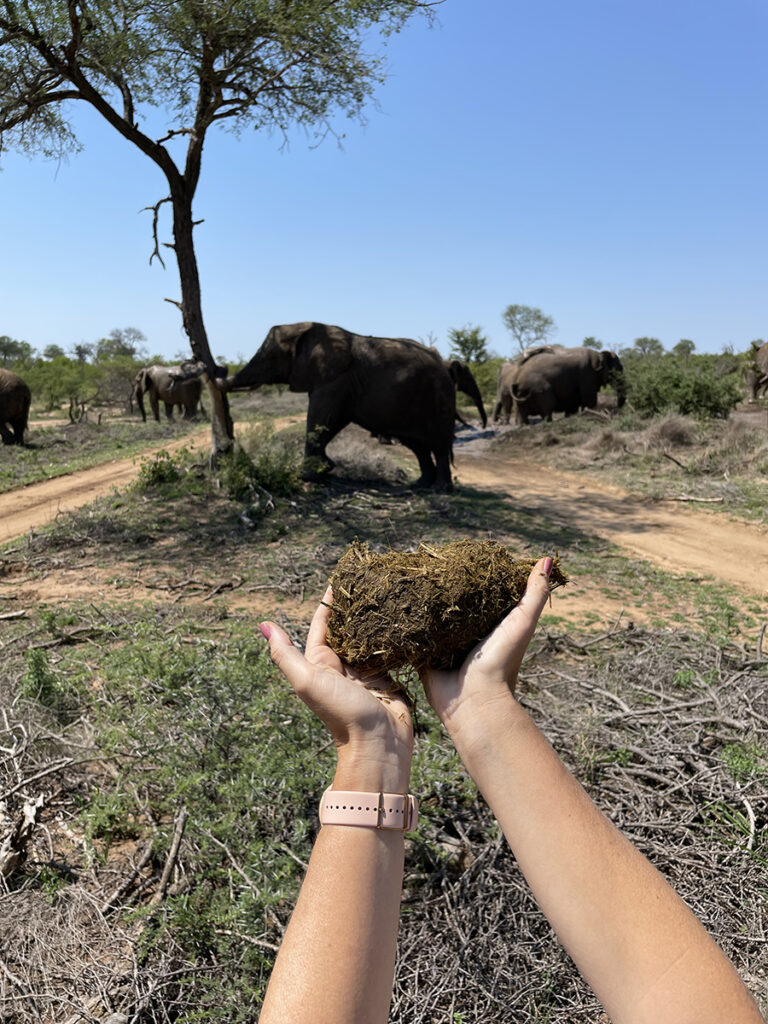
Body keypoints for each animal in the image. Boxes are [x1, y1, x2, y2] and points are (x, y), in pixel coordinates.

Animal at [222, 322, 463, 490]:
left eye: (270, 357)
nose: (221, 370)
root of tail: (444, 365)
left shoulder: (335, 380)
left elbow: (321, 417)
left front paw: (308, 476)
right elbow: (329, 421)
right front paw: (324, 470)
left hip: (439, 398)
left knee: (439, 446)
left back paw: (439, 489)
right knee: (418, 447)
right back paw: (420, 485)